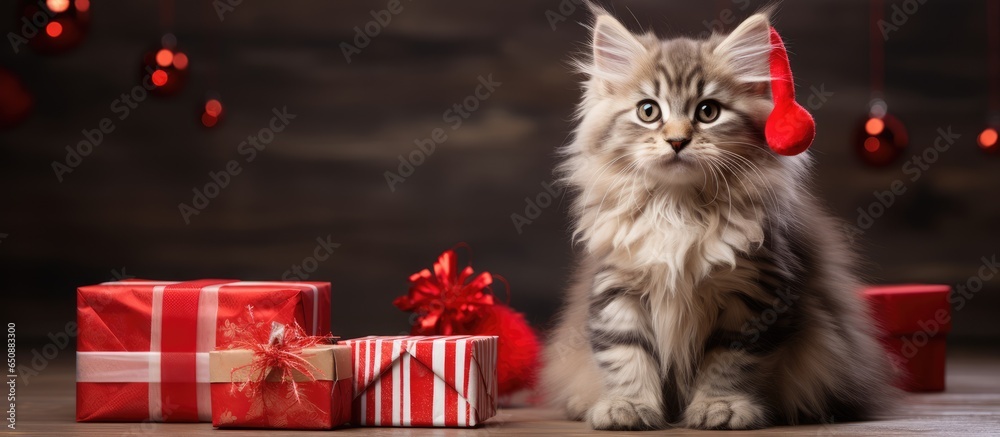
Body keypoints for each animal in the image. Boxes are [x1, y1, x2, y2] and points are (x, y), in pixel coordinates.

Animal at [544, 8, 896, 430]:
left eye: (708, 111)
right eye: (648, 111)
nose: (677, 140)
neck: (677, 208)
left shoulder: (753, 294)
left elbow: (729, 361)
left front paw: (721, 407)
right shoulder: (618, 287)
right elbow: (626, 355)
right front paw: (626, 406)